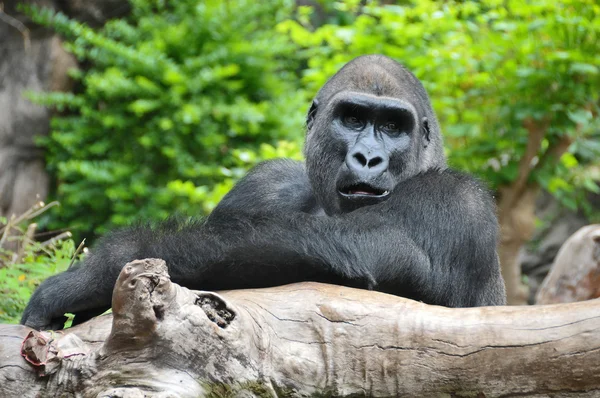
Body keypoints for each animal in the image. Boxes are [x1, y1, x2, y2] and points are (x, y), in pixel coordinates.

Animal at [19, 55, 506, 330]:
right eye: (352, 118)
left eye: (391, 126)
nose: (368, 157)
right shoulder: (262, 186)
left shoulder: (456, 199)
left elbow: (363, 249)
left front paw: (93, 274)